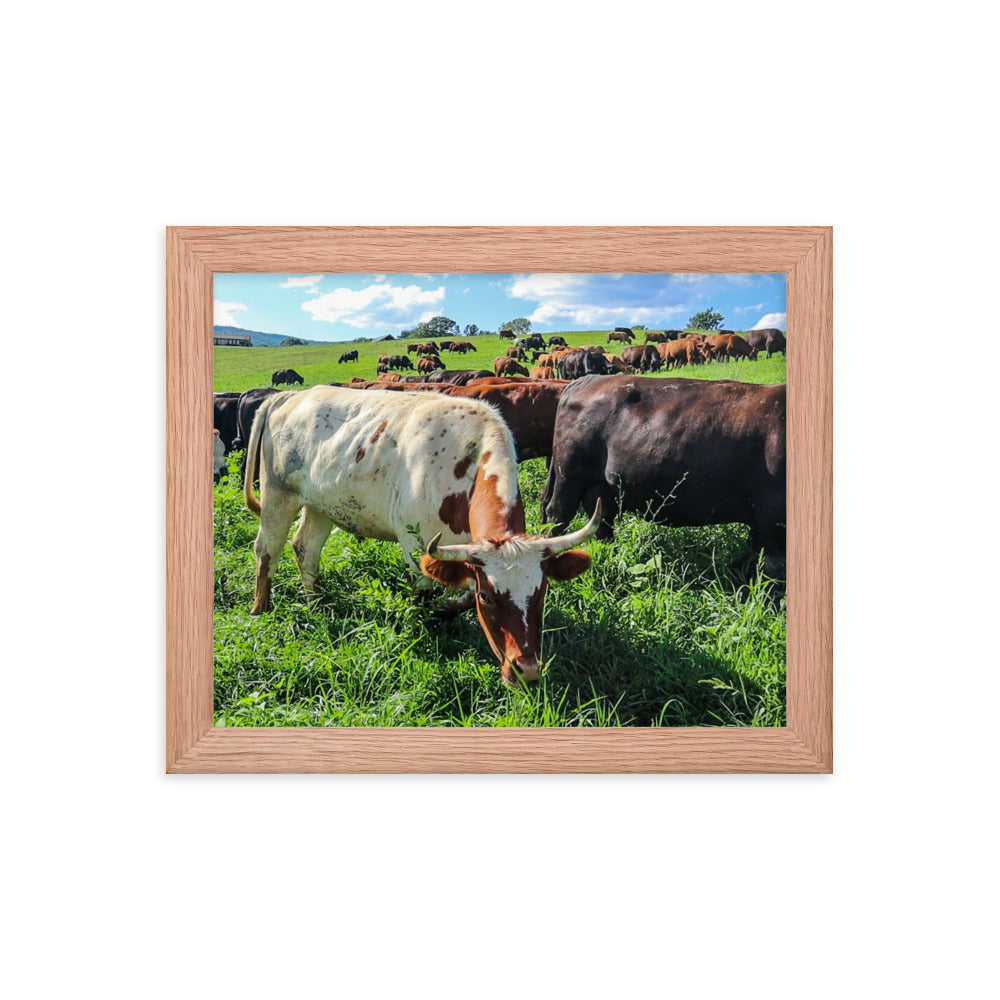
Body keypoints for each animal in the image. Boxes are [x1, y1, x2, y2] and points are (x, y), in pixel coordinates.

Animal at [242, 386, 600, 683]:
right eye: (489, 598)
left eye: (542, 592)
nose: (526, 671)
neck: (465, 464)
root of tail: (289, 396)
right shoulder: (416, 546)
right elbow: (425, 595)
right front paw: (427, 627)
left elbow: (461, 596)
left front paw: (446, 611)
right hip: (277, 496)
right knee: (266, 550)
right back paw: (261, 610)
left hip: (321, 506)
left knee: (306, 549)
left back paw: (315, 602)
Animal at [540, 375, 786, 577]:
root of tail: (584, 380)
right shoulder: (773, 518)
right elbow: (774, 571)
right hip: (568, 478)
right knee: (557, 516)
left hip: (601, 488)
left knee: (602, 522)